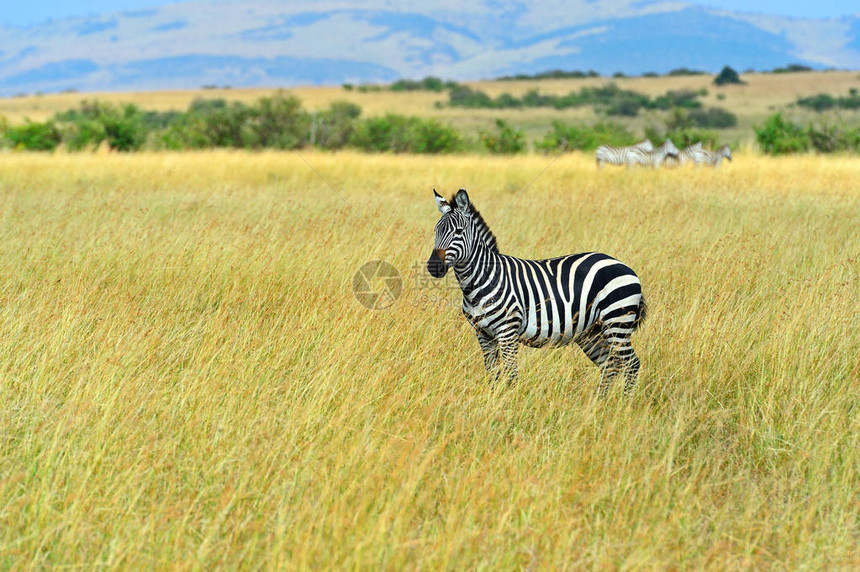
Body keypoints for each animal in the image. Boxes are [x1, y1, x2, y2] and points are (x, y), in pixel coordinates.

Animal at [426, 190, 648, 396]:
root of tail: (623, 265)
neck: (480, 281)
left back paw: (624, 404)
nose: (433, 267)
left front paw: (509, 403)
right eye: (436, 230)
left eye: (459, 231)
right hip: (592, 332)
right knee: (610, 364)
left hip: (617, 322)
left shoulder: (507, 332)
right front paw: (493, 399)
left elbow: (511, 374)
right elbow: (493, 374)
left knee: (631, 364)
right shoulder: (483, 334)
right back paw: (598, 404)